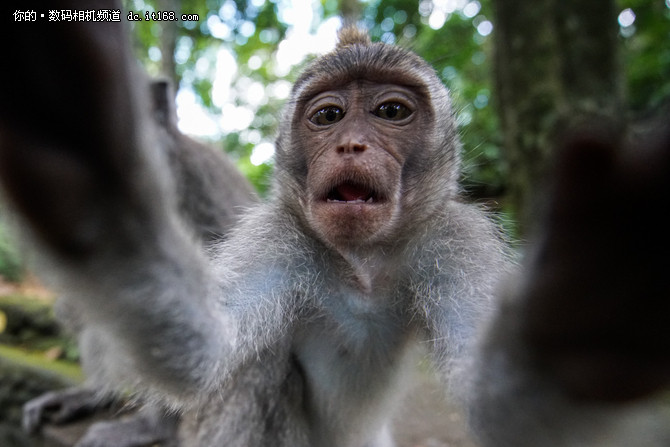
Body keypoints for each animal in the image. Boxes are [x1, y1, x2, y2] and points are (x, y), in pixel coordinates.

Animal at [0, 1, 668, 446]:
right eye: (328, 116)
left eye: (391, 111)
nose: (350, 144)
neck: (362, 263)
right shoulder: (276, 236)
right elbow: (207, 356)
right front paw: (98, 178)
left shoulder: (453, 240)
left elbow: (496, 410)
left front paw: (586, 313)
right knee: (255, 363)